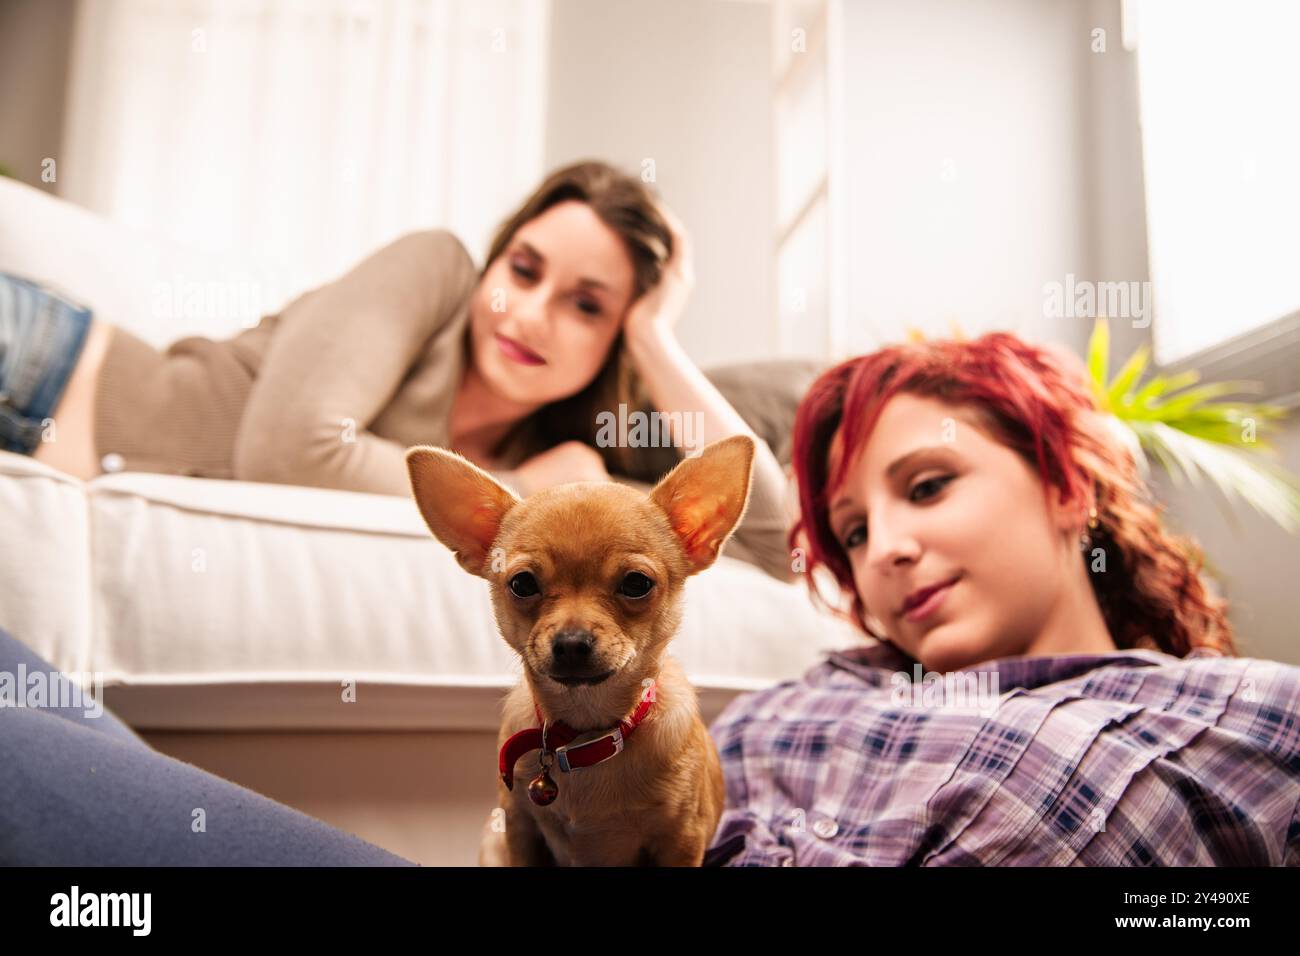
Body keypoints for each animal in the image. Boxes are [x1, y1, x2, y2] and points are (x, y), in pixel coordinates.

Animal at [403, 434, 754, 868]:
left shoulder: (681, 840)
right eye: (521, 584)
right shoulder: (519, 829)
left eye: (637, 583)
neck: (587, 734)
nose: (571, 643)